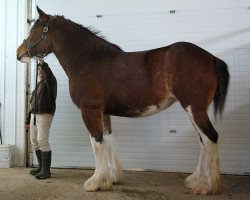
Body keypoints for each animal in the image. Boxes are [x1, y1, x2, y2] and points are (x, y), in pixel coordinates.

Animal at [16, 7, 229, 195]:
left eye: (35, 29)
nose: (19, 53)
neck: (87, 60)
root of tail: (210, 57)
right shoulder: (103, 112)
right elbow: (108, 140)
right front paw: (111, 178)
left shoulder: (90, 110)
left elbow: (97, 142)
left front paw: (96, 182)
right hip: (194, 111)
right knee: (203, 140)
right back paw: (195, 179)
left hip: (195, 109)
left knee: (210, 138)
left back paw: (206, 186)